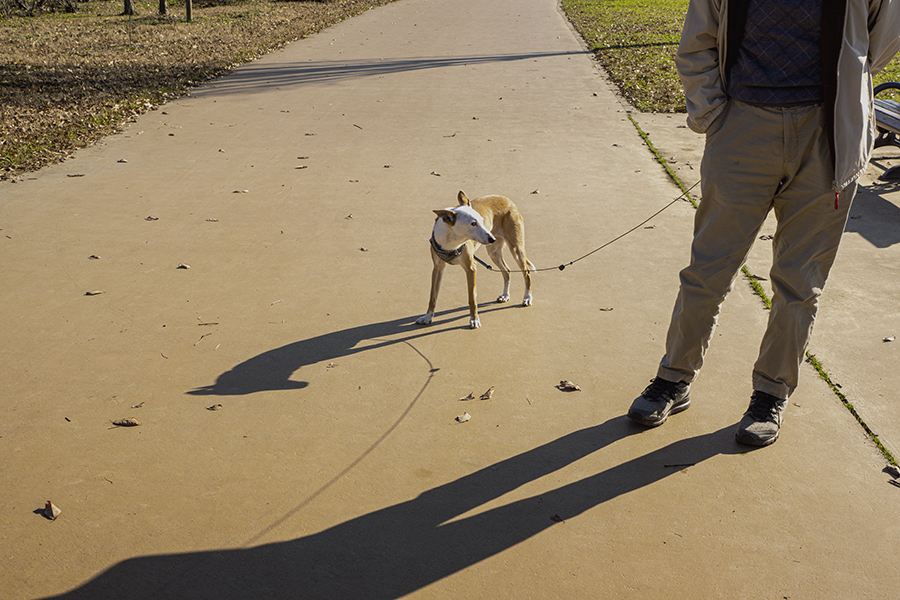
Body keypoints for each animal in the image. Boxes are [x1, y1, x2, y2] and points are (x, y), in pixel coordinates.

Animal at [416, 190, 536, 328]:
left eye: (482, 220)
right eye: (473, 223)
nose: (492, 238)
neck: (450, 241)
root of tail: (508, 200)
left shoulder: (471, 268)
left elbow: (472, 298)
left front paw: (474, 319)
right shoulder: (437, 268)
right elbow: (433, 296)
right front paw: (427, 317)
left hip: (516, 249)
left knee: (526, 272)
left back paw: (527, 298)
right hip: (494, 252)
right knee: (507, 271)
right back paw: (505, 295)